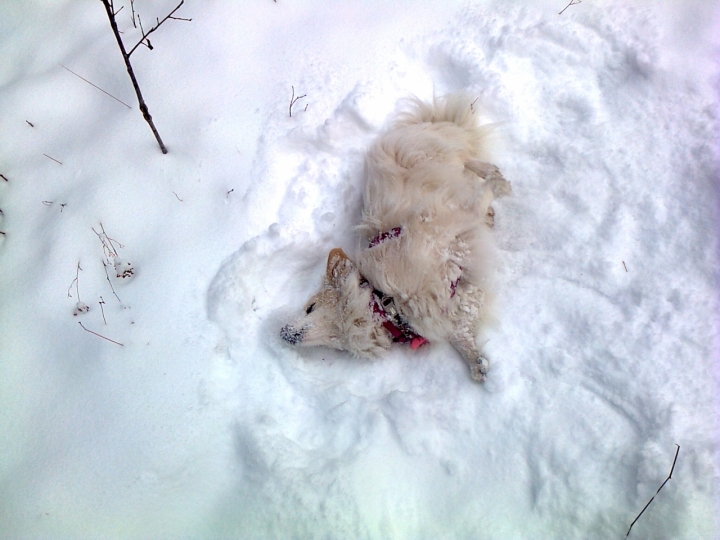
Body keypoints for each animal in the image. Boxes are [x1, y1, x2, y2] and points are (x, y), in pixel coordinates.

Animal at [282, 95, 512, 382]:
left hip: (440, 159)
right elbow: (460, 333)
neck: (387, 304)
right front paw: (477, 362)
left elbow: (486, 191)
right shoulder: (453, 303)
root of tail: (429, 122)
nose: (281, 333)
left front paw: (499, 185)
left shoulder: (438, 227)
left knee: (473, 165)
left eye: (310, 307)